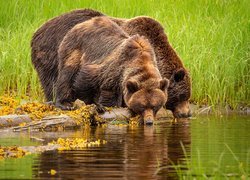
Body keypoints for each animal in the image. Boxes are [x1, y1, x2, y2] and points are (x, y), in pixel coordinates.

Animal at [31, 8, 191, 119]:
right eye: (182, 96)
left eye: (187, 96)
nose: (187, 114)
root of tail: (37, 31)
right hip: (52, 54)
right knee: (55, 80)